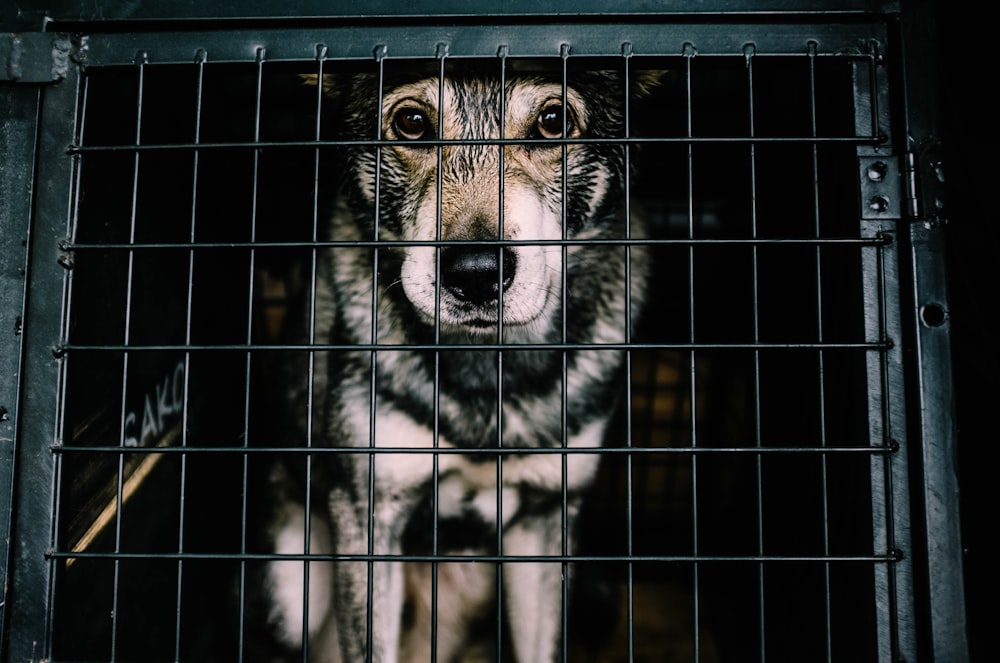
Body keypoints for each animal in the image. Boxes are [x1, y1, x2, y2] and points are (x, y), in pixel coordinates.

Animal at [246, 62, 660, 663]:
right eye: (412, 123)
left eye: (553, 122)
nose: (475, 273)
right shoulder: (369, 516)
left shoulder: (545, 517)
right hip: (290, 592)